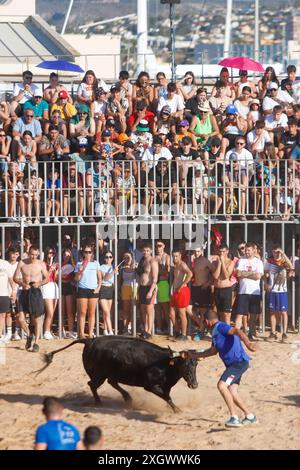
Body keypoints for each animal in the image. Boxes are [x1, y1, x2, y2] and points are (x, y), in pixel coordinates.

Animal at [40, 338, 199, 412]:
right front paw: (177, 410)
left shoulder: (166, 385)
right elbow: (166, 396)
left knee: (111, 382)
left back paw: (127, 398)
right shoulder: (150, 386)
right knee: (92, 385)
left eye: (195, 365)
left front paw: (171, 407)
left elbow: (167, 395)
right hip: (98, 375)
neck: (165, 363)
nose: (195, 384)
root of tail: (89, 340)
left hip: (110, 374)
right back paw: (99, 402)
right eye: (184, 365)